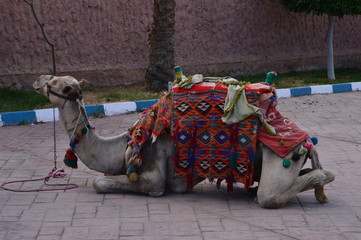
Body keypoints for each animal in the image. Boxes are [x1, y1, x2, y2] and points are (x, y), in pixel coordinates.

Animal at [33, 75, 334, 208]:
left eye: (56, 83)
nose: (38, 80)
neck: (125, 143)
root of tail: (304, 140)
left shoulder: (153, 167)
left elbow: (102, 183)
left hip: (280, 157)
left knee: (270, 195)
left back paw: (323, 181)